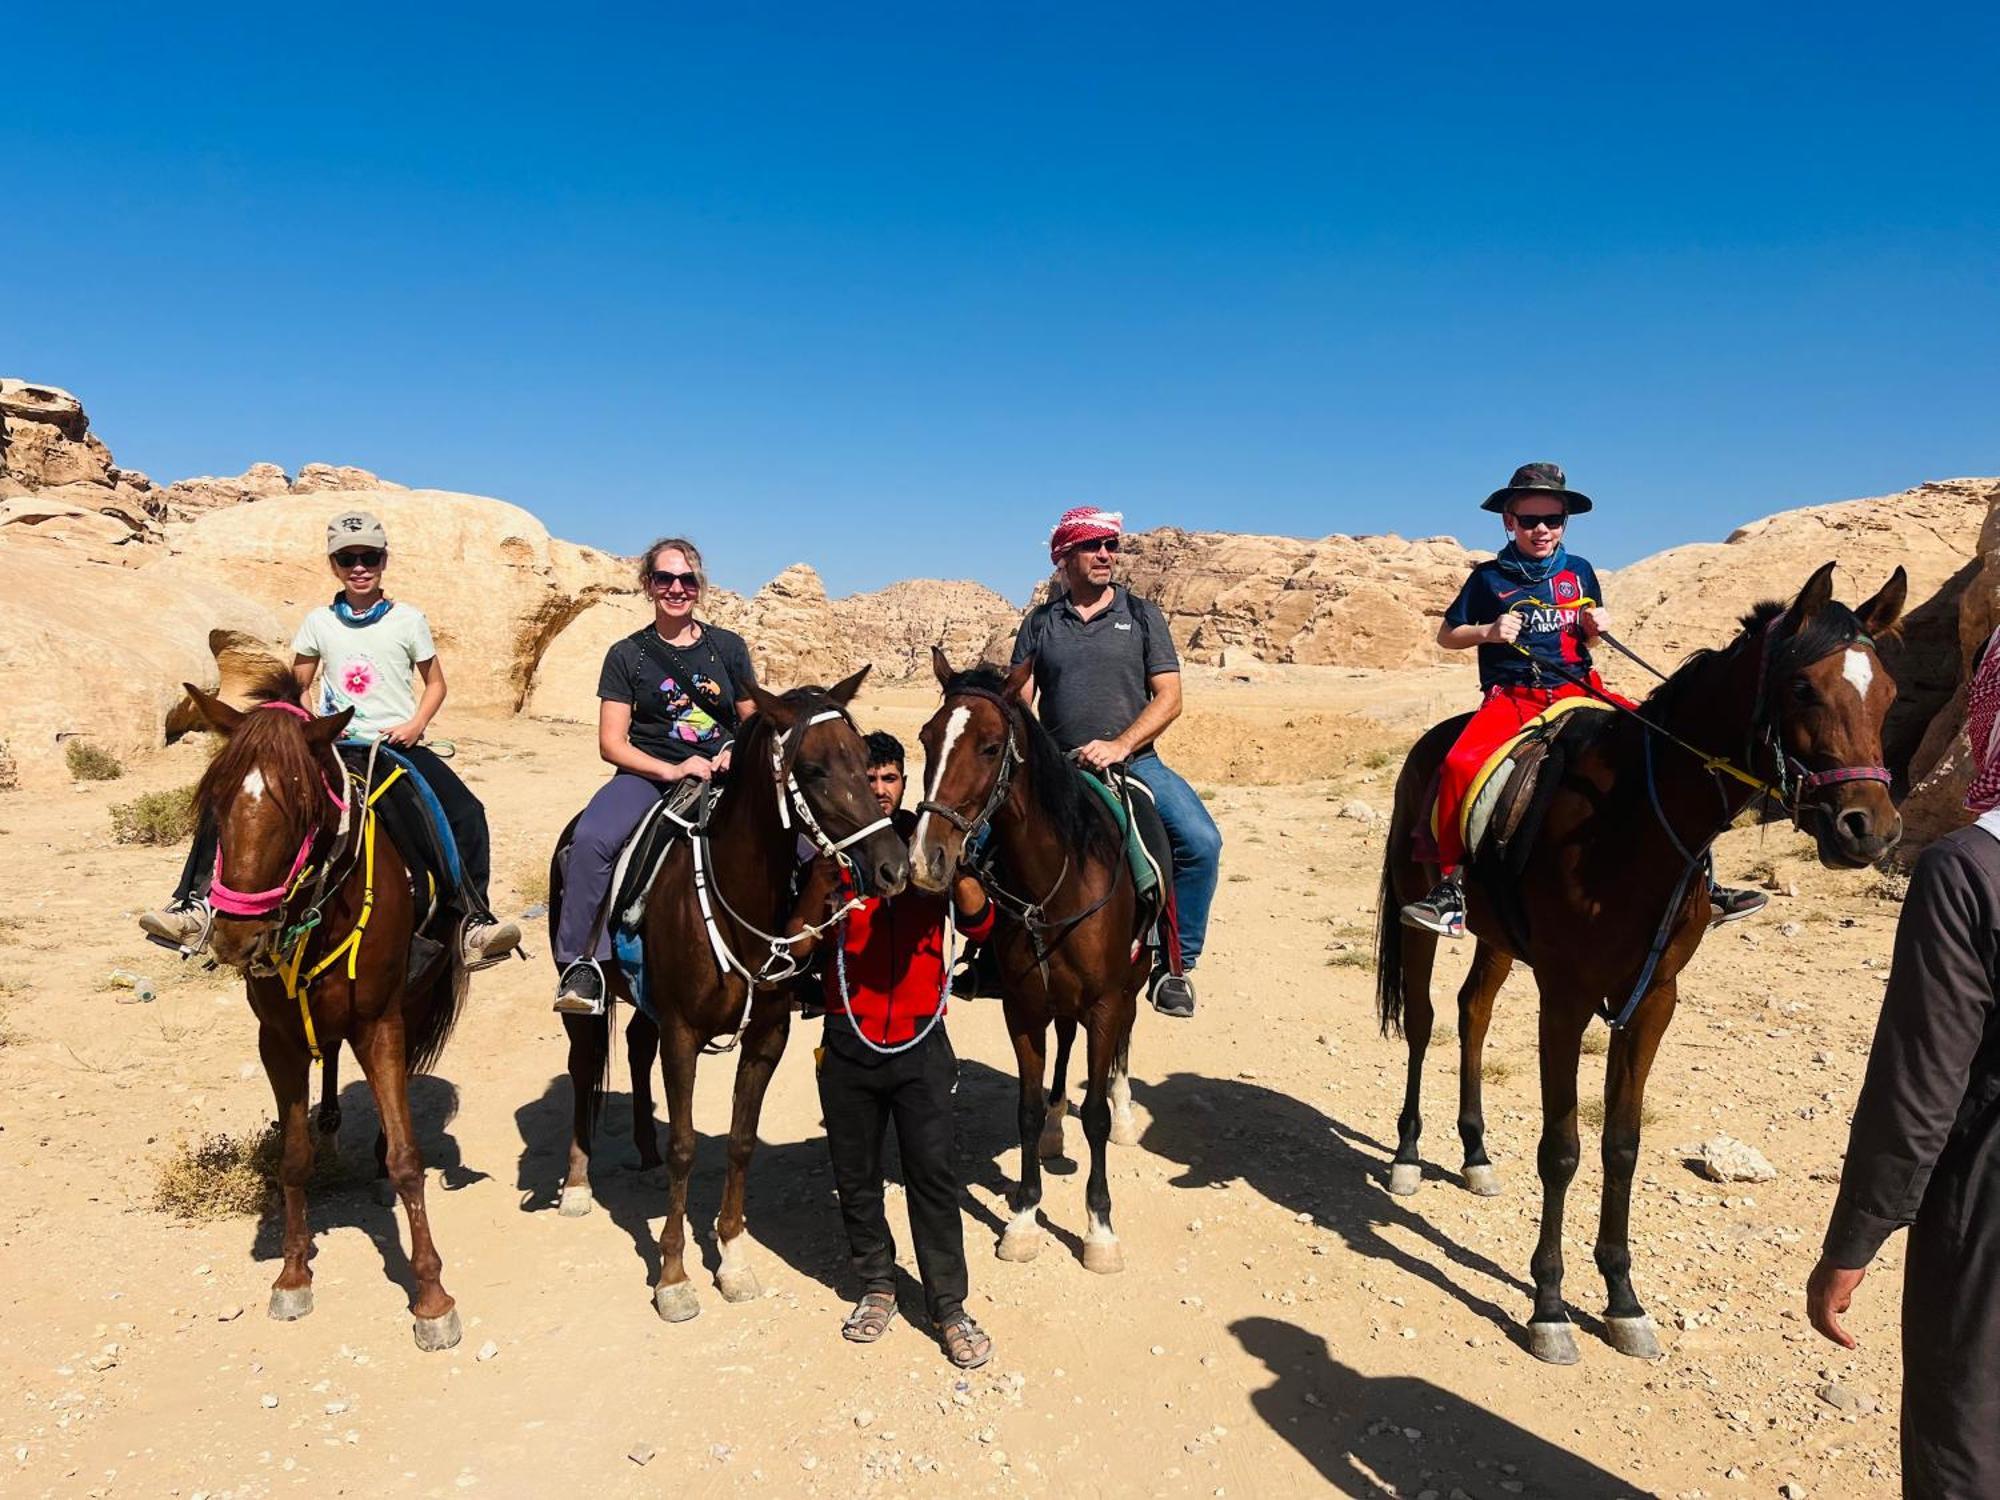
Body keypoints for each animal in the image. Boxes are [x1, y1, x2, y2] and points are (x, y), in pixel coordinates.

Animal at [184, 676, 468, 1360]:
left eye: (304, 807)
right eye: (215, 802)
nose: (237, 937)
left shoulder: (381, 1023)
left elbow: (409, 1160)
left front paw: (431, 1298)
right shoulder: (278, 1037)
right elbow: (292, 1158)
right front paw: (292, 1276)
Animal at [548, 676, 908, 1320]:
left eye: (866, 761)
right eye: (812, 769)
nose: (892, 866)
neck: (736, 897)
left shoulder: (767, 1036)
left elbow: (741, 1143)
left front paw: (734, 1262)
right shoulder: (683, 1034)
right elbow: (687, 1144)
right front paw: (672, 1277)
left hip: (648, 1007)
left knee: (635, 1047)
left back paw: (644, 1155)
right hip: (584, 991)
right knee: (585, 1063)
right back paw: (578, 1183)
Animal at [908, 652, 1144, 1272]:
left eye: (991, 747)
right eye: (926, 738)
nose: (925, 860)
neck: (1054, 884)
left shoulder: (1105, 1002)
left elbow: (1096, 1115)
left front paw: (1099, 1229)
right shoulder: (1022, 1007)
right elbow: (1028, 1109)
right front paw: (1022, 1217)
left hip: (1131, 988)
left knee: (1124, 1043)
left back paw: (1126, 1110)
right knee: (1064, 1042)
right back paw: (1058, 1128)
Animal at [1376, 564, 1904, 1360]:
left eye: (1890, 694)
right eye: (1804, 688)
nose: (1868, 828)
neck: (1627, 824)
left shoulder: (1653, 999)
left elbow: (1621, 1144)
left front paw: (1623, 1299)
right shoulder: (1564, 997)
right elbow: (1562, 1147)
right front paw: (1550, 1306)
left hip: (1498, 938)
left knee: (1472, 1014)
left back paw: (1475, 1155)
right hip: (1422, 917)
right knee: (1424, 1021)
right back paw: (1409, 1156)